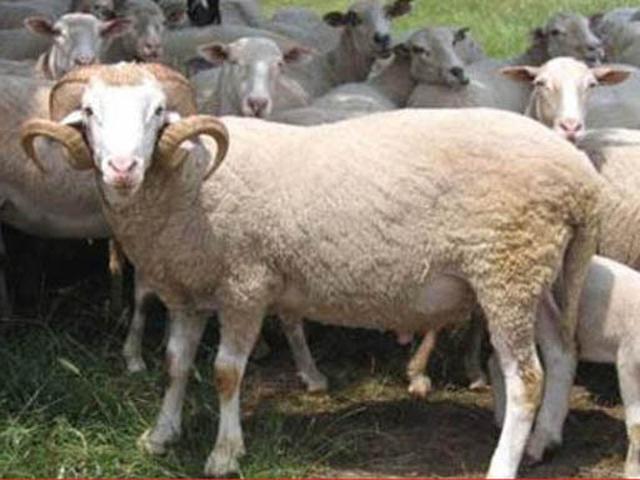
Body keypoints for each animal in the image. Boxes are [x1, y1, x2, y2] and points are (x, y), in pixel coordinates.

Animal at [23, 62, 602, 478]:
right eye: (90, 112)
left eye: (158, 111)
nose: (122, 168)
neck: (189, 178)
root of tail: (579, 176)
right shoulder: (188, 291)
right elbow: (175, 364)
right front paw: (161, 436)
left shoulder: (246, 284)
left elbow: (226, 372)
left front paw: (225, 454)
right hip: (532, 273)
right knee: (561, 352)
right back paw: (544, 442)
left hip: (506, 267)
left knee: (527, 378)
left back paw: (503, 464)